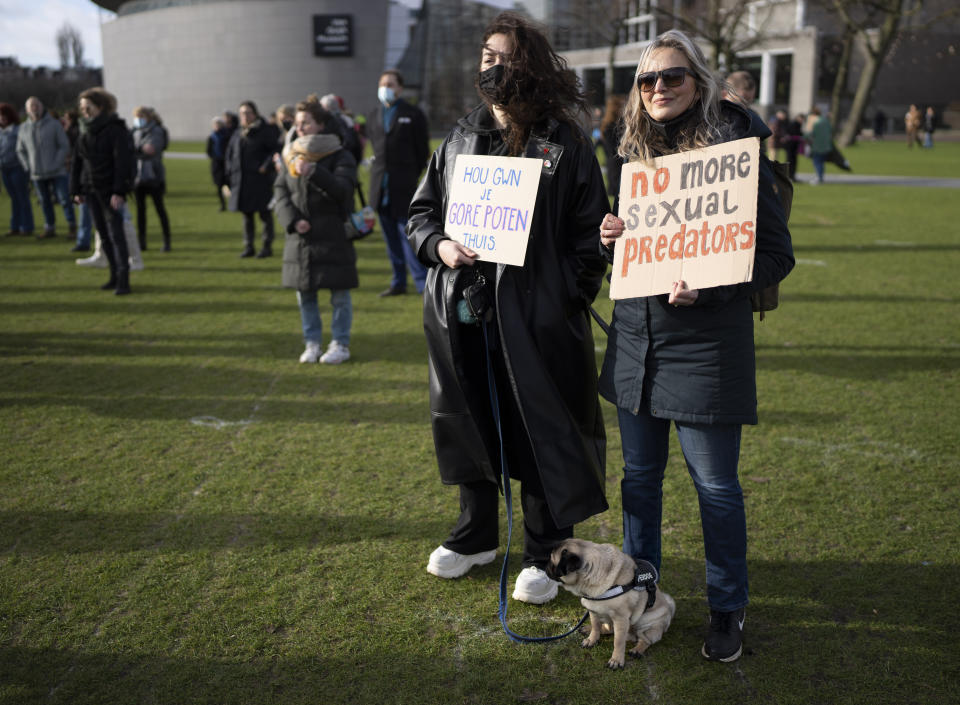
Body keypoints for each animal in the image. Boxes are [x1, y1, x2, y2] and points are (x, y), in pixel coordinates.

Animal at [548, 540, 676, 664]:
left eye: (551, 561)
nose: (546, 567)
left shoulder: (620, 619)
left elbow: (618, 641)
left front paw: (616, 659)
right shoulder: (593, 611)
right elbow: (595, 627)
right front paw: (591, 639)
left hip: (647, 626)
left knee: (645, 640)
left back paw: (637, 650)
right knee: (607, 628)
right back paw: (588, 629)